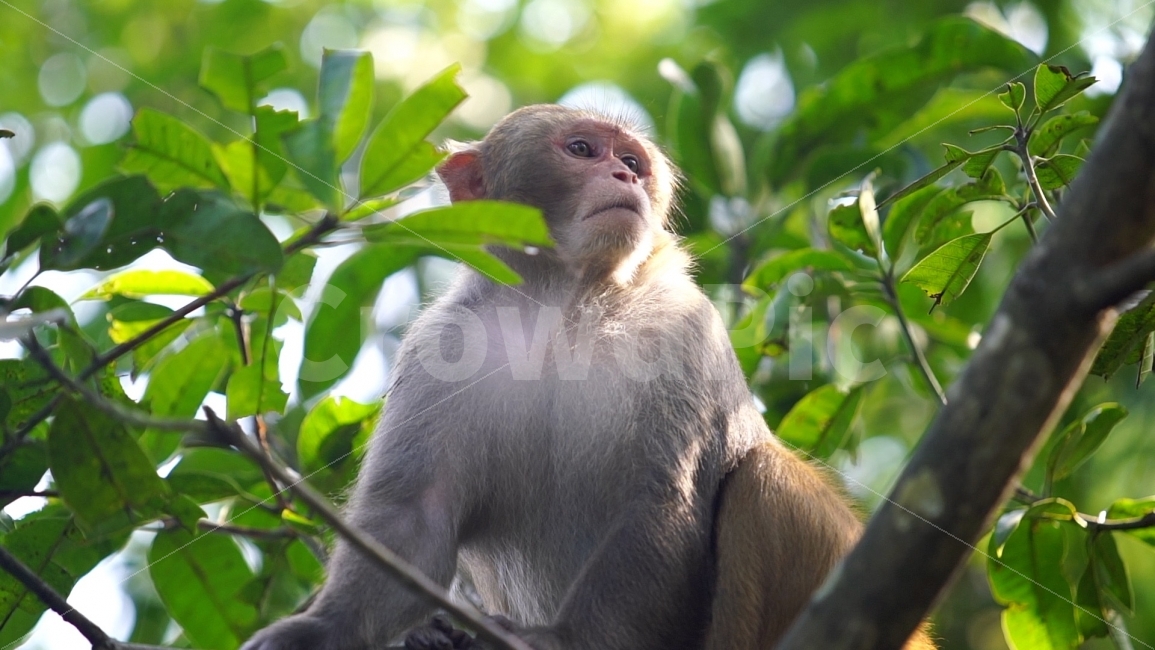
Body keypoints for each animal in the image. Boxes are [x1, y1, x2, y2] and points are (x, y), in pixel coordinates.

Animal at [241, 105, 935, 650]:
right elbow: (414, 518)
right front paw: (321, 630)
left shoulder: (683, 333)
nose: (624, 175)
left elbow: (657, 499)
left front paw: (558, 640)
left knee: (765, 480)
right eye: (581, 150)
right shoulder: (441, 349)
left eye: (631, 159)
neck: (563, 307)